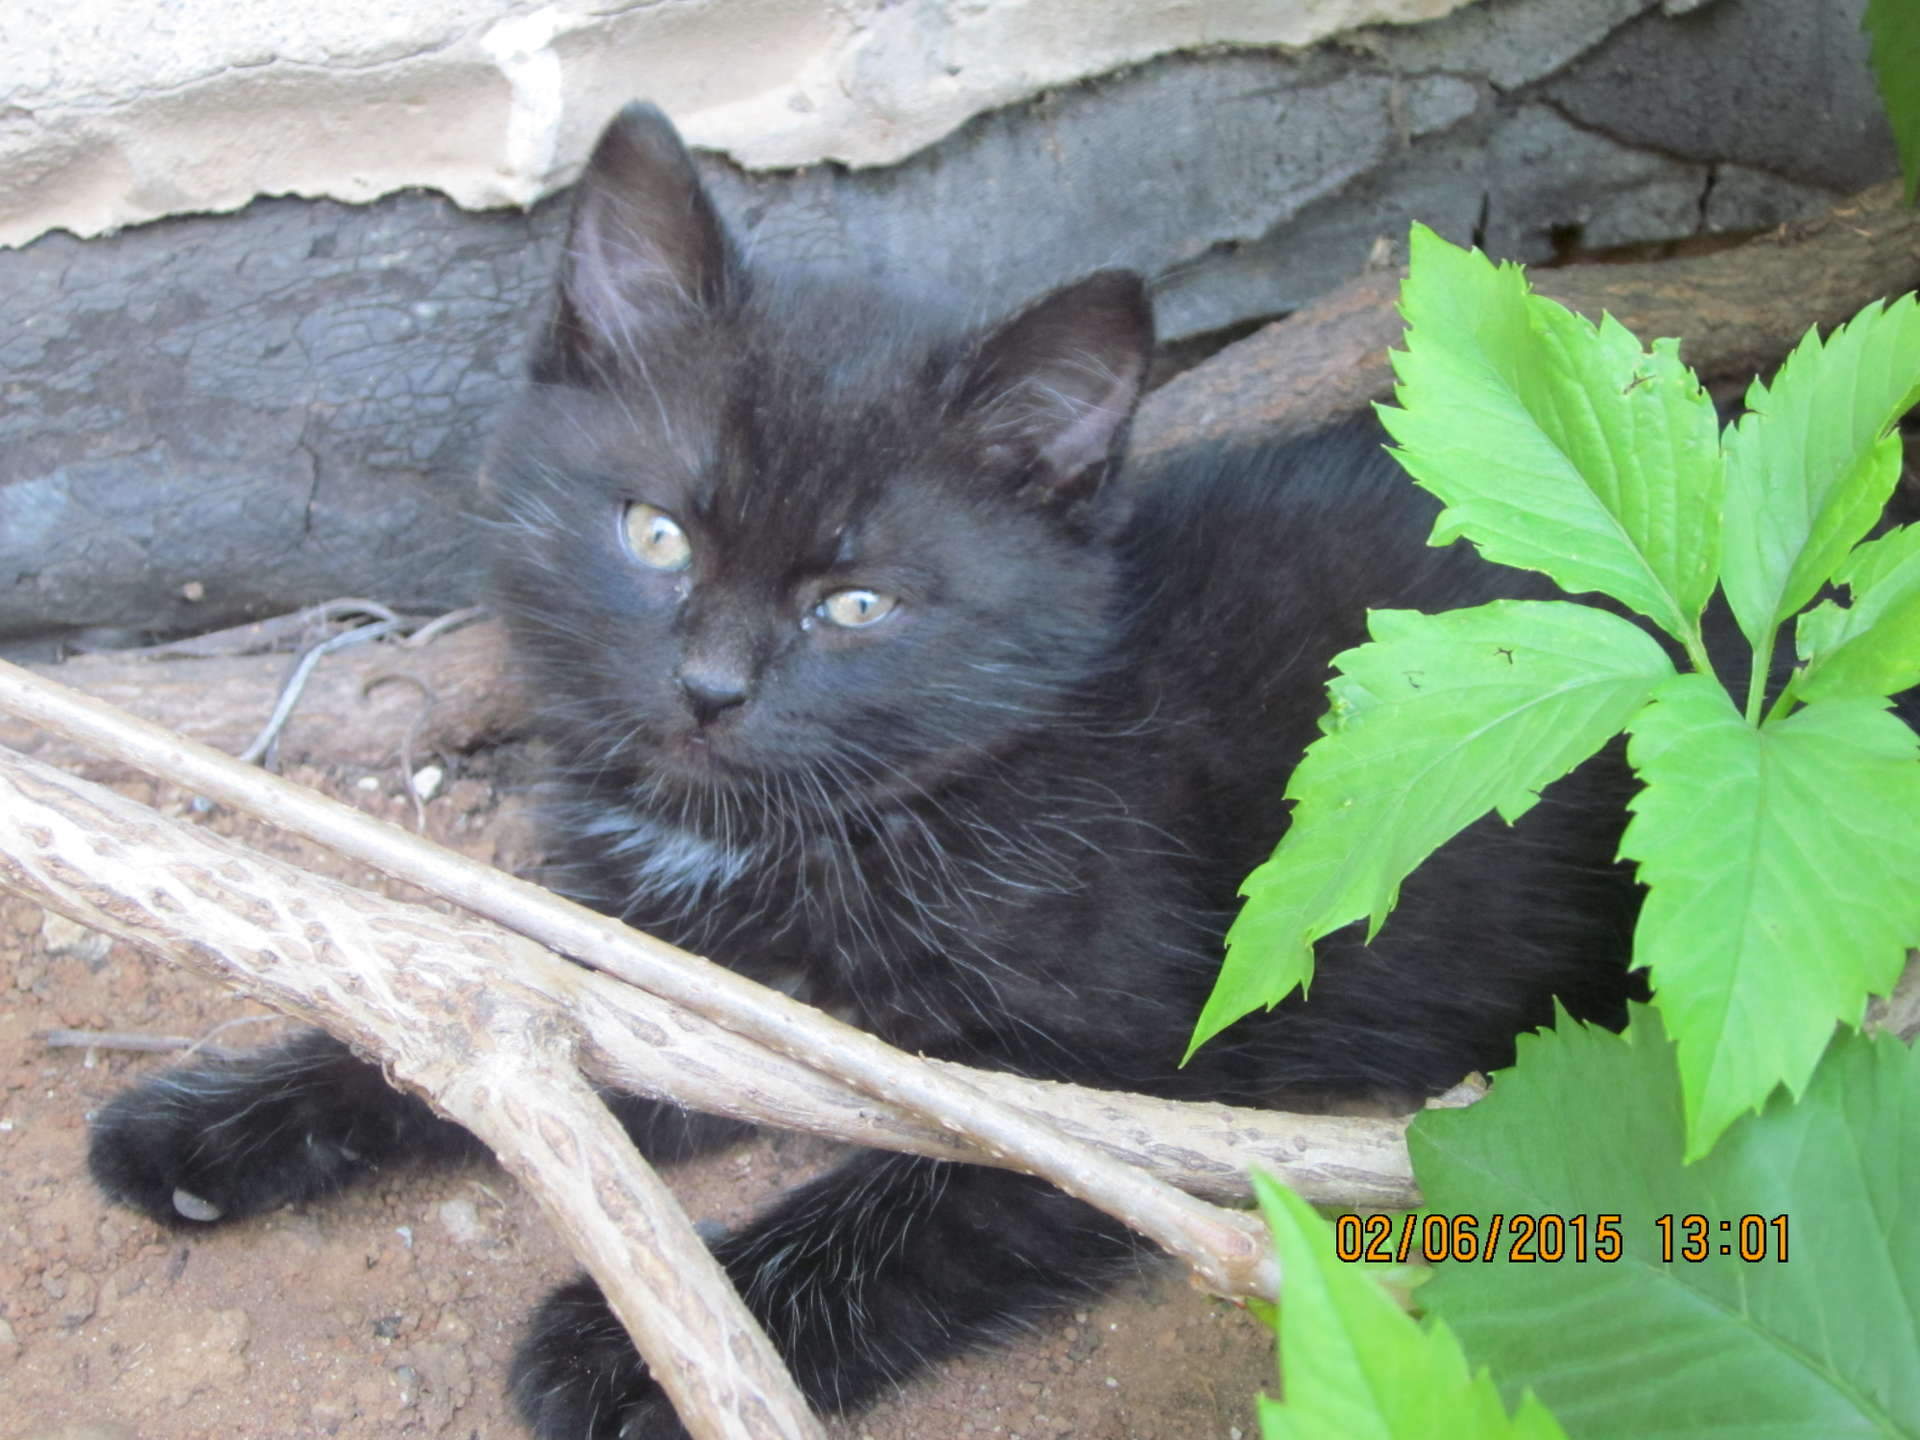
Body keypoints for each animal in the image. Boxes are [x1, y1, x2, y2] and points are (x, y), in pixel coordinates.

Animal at [88, 103, 1650, 1438]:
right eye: (657, 535)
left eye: (856, 606)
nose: (711, 687)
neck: (789, 828)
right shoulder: (690, 978)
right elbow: (491, 1012)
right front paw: (209, 1123)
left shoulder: (1142, 1053)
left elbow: (935, 1199)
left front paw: (621, 1347)